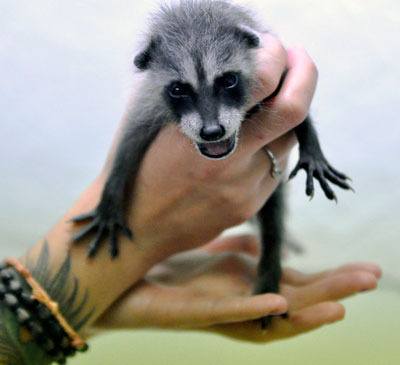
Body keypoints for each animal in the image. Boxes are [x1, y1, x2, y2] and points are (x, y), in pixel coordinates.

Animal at [73, 0, 352, 328]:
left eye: (228, 80)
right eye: (179, 89)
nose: (212, 132)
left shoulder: (274, 75)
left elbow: (299, 111)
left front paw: (311, 146)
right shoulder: (149, 102)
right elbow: (129, 143)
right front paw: (112, 197)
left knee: (273, 221)